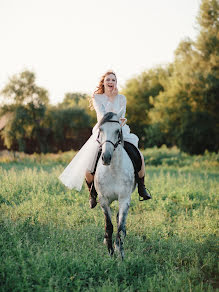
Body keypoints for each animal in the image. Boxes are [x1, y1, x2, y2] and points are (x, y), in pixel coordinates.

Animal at [94, 110, 136, 258]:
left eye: (118, 131)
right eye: (100, 129)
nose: (106, 157)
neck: (112, 170)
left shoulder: (124, 199)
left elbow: (120, 225)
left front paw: (120, 252)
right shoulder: (103, 200)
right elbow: (109, 225)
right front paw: (110, 252)